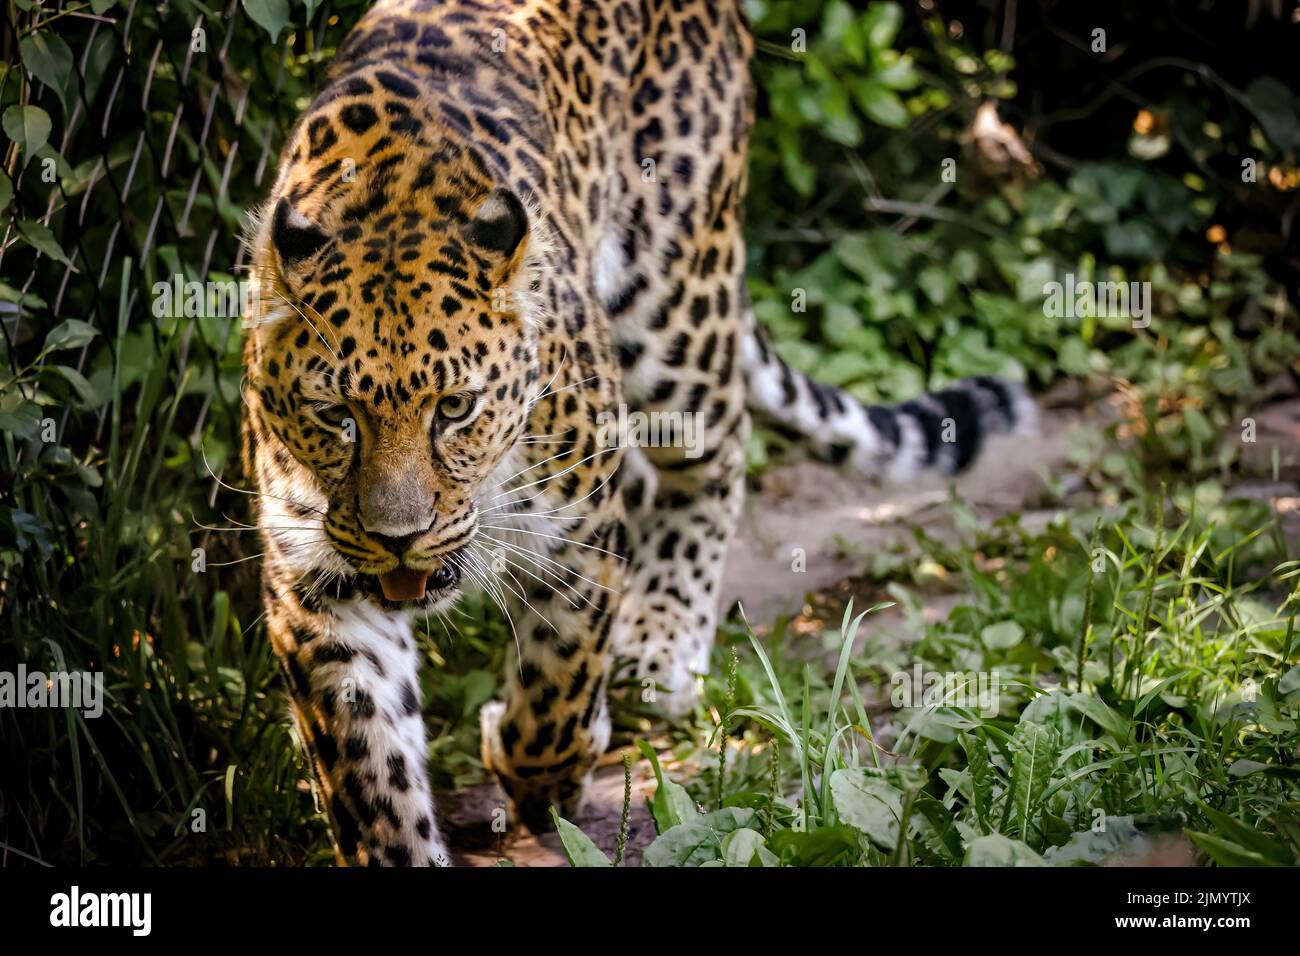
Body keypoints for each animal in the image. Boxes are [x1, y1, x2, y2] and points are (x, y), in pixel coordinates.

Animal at [241, 0, 1034, 868]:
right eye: (336, 417)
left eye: (454, 408)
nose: (398, 540)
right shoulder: (314, 585)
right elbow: (368, 775)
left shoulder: (579, 523)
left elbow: (558, 686)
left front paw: (539, 772)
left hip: (675, 300)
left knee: (714, 452)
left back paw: (661, 647)